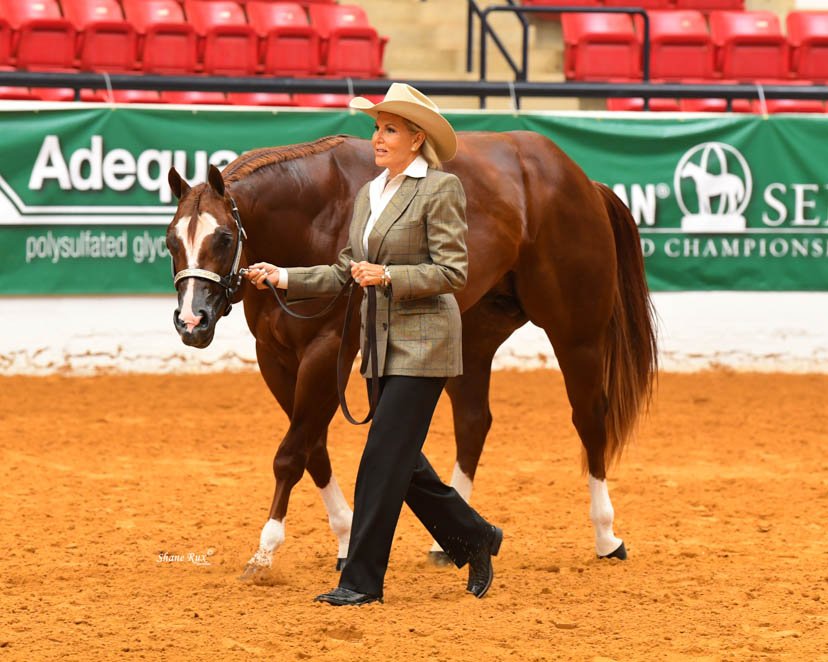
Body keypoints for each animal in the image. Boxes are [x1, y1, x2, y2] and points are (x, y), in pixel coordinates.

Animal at [165, 131, 657, 578]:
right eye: (171, 241)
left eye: (223, 237)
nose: (192, 322)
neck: (313, 215)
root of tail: (581, 181)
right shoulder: (274, 357)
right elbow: (313, 447)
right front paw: (345, 538)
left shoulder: (328, 351)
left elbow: (292, 452)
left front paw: (264, 552)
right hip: (475, 337)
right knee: (473, 422)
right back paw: (457, 543)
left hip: (577, 334)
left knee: (589, 418)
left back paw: (606, 537)